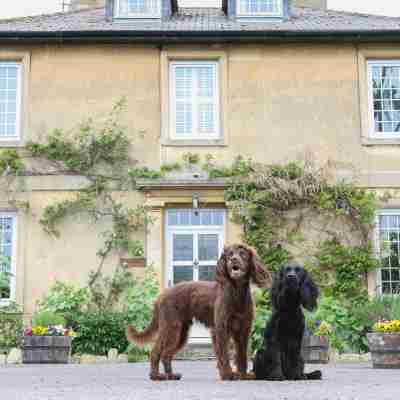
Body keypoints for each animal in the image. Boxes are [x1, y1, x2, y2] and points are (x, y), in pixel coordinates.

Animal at [128, 244, 272, 382]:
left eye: (242, 254)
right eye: (229, 255)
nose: (234, 260)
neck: (236, 292)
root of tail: (161, 296)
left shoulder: (243, 330)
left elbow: (242, 355)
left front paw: (242, 375)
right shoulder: (221, 329)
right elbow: (223, 354)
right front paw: (228, 374)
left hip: (181, 332)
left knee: (166, 354)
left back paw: (171, 375)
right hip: (170, 327)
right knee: (155, 352)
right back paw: (156, 376)